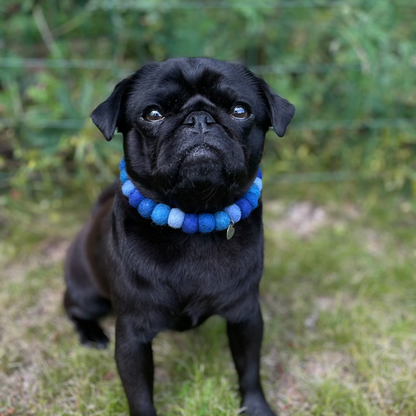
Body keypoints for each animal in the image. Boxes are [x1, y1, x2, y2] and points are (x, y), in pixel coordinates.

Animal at [63, 57, 294, 416]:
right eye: (153, 114)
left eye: (240, 111)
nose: (199, 118)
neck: (193, 220)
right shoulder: (132, 335)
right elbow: (140, 394)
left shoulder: (246, 315)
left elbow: (249, 370)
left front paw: (257, 408)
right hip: (89, 294)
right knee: (73, 307)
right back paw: (91, 335)